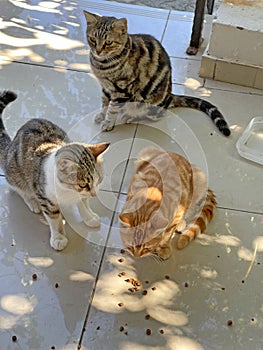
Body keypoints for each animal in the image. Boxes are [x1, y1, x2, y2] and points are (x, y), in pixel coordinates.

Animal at [0, 89, 110, 250]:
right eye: (83, 184)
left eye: (99, 180)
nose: (94, 194)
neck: (67, 192)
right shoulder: (46, 197)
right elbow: (53, 219)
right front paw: (58, 237)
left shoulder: (80, 195)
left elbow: (83, 204)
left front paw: (89, 217)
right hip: (15, 174)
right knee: (19, 189)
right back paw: (32, 203)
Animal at [83, 10, 231, 137]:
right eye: (92, 39)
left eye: (108, 42)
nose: (97, 51)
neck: (102, 65)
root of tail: (170, 96)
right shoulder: (106, 87)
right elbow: (105, 102)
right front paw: (101, 115)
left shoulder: (121, 90)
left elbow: (112, 109)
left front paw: (108, 123)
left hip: (148, 104)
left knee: (145, 115)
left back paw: (129, 116)